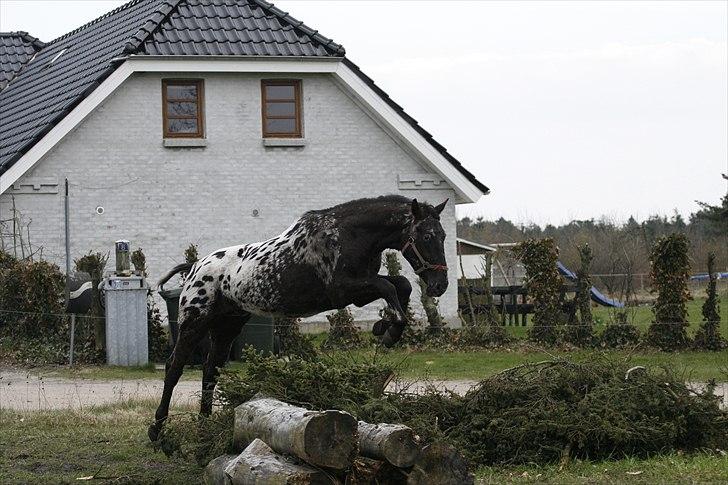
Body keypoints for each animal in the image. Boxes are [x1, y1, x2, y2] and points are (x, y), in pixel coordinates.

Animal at [148, 195, 450, 440]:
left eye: (444, 236)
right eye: (426, 236)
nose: (440, 285)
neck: (349, 234)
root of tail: (195, 266)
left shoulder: (358, 291)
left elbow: (401, 285)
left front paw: (384, 326)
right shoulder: (344, 291)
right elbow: (389, 287)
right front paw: (389, 332)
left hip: (227, 326)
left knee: (211, 370)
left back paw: (204, 425)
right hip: (195, 323)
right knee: (174, 367)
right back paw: (157, 430)